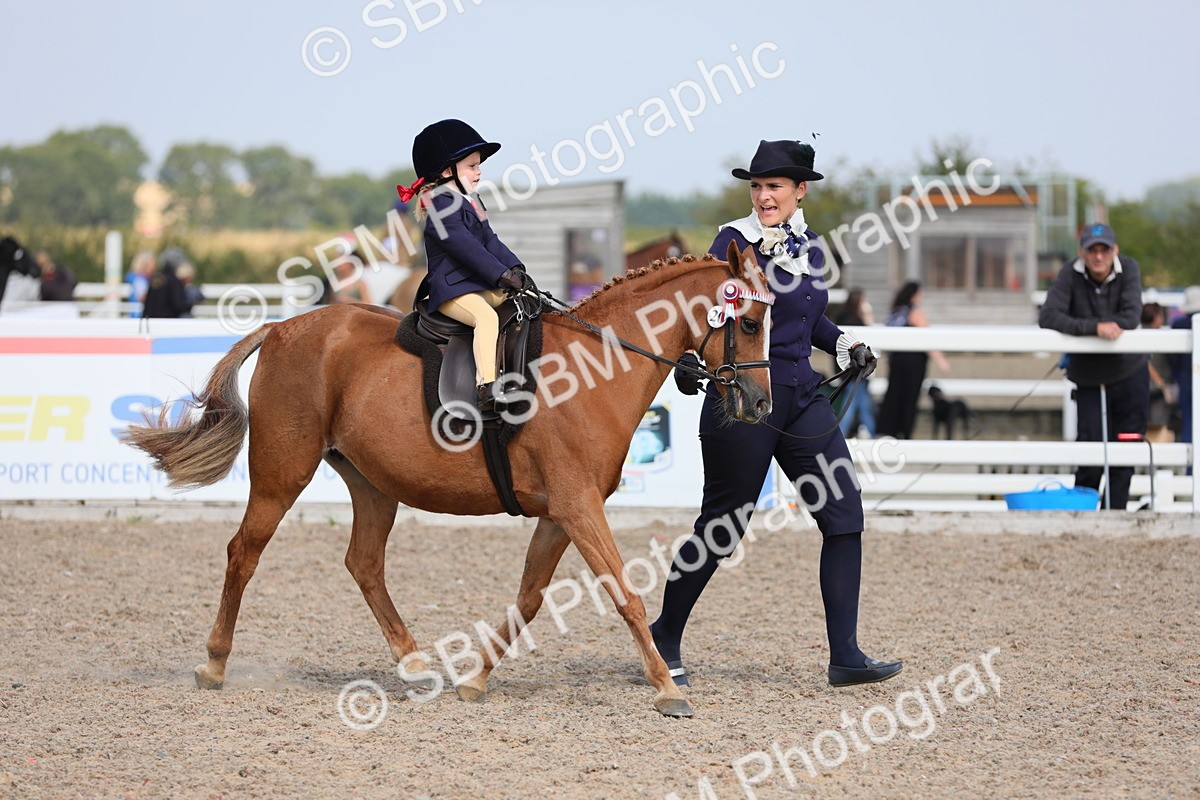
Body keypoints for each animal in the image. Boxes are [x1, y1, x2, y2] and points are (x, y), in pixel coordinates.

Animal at [122, 242, 774, 718]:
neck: (595, 370)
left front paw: (476, 679)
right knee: (245, 552)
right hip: (284, 474)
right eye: (748, 322)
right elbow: (625, 593)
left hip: (372, 483)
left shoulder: (559, 511)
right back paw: (214, 664)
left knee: (363, 563)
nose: (761, 406)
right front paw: (668, 690)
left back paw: (414, 664)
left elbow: (529, 597)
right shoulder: (578, 505)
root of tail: (284, 326)